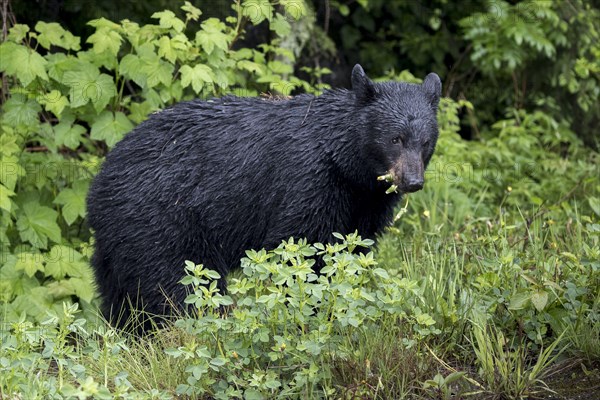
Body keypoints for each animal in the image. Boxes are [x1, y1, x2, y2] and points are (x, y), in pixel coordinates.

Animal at [85, 65, 440, 328]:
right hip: (161, 220)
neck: (346, 164)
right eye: (395, 138)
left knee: (119, 293)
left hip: (120, 241)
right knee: (180, 285)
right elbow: (297, 247)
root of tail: (99, 184)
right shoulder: (307, 181)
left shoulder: (366, 201)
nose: (412, 181)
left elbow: (352, 247)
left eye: (425, 142)